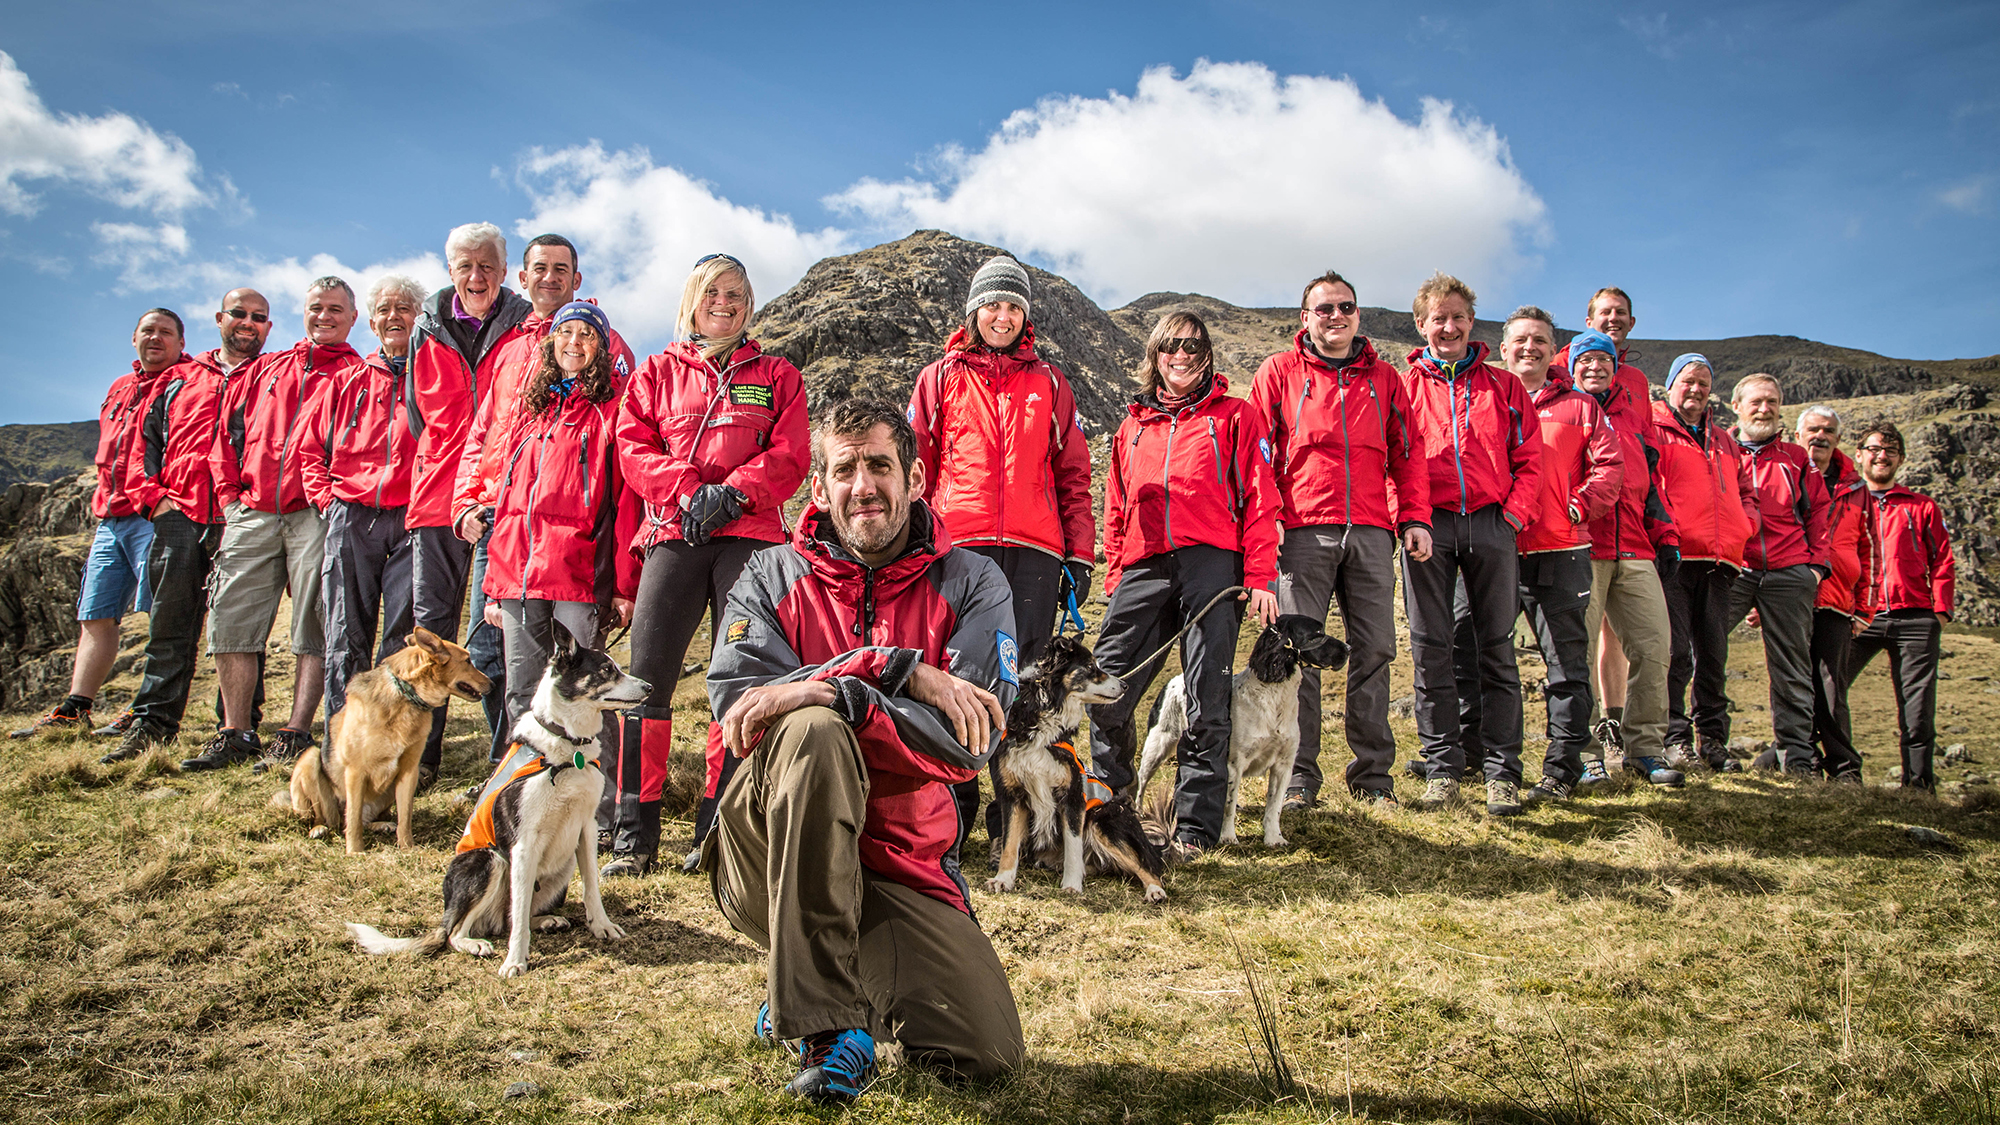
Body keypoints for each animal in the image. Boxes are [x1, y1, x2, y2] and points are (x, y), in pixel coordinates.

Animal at [284, 624, 494, 852]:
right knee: (331, 818)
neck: (406, 695)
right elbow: (353, 820)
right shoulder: (355, 770)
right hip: (310, 761)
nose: (492, 684)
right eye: (467, 661)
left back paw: (381, 824)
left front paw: (407, 847)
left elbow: (405, 815)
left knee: (366, 819)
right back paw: (319, 828)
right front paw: (355, 851)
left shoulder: (408, 770)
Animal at [346, 632, 648, 972]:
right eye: (607, 671)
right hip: (489, 861)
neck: (567, 746)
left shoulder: (585, 829)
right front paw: (515, 961)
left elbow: (591, 888)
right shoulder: (524, 842)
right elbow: (519, 912)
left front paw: (602, 926)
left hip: (563, 863)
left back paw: (545, 921)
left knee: (512, 917)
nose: (649, 687)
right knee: (463, 930)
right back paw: (475, 943)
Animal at [988, 632, 1168, 900]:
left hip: (1103, 819)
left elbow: (1073, 846)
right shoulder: (1013, 794)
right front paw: (1003, 879)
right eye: (1091, 668)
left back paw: (1155, 890)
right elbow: (1010, 843)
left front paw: (1072, 885)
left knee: (1146, 864)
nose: (1124, 686)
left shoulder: (1072, 796)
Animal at [1136, 612, 1352, 840]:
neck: (1273, 696)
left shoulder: (1283, 764)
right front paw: (1227, 837)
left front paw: (1274, 838)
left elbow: (1274, 807)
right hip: (1157, 746)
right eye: (1318, 633)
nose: (1349, 648)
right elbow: (1227, 806)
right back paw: (1140, 812)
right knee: (1141, 783)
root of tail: (1174, 680)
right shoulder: (1234, 764)